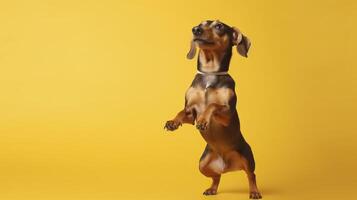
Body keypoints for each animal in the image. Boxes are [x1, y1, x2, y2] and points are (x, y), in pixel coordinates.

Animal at [164, 19, 262, 198]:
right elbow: (182, 112)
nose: (195, 30)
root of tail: (226, 164)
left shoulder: (227, 113)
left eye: (219, 26)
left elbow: (212, 105)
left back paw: (254, 192)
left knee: (251, 175)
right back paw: (212, 189)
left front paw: (204, 120)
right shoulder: (190, 112)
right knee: (217, 176)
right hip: (202, 164)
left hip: (247, 158)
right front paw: (173, 122)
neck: (210, 75)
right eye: (199, 24)